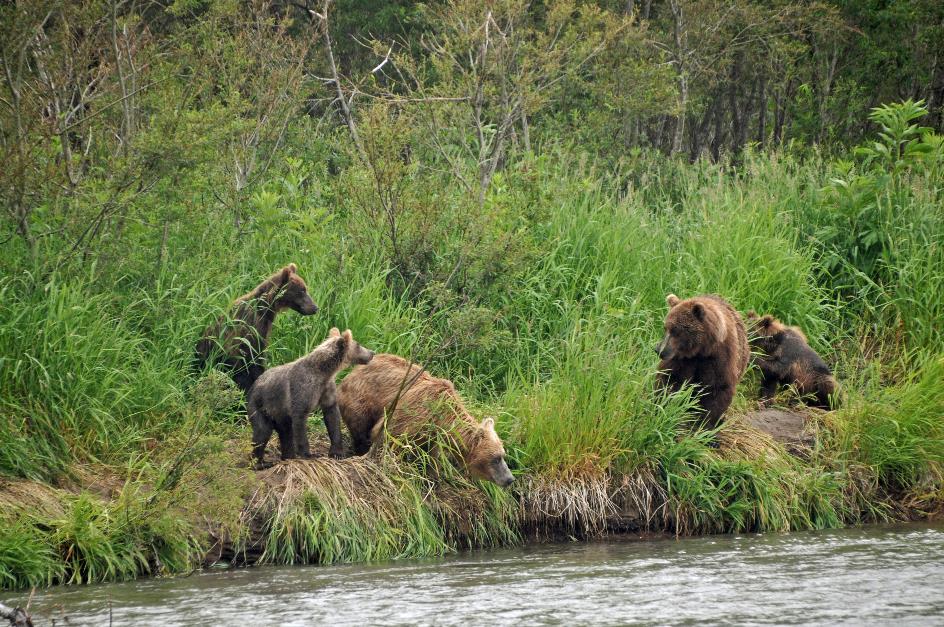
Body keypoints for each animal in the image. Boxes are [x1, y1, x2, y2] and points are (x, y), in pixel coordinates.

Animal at [195, 264, 320, 392]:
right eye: (301, 291)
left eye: (305, 288)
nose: (315, 308)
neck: (265, 310)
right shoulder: (251, 331)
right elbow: (254, 359)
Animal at [247, 328, 376, 466]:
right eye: (358, 344)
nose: (372, 353)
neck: (324, 372)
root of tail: (253, 385)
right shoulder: (301, 389)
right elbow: (300, 419)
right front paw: (308, 454)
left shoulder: (326, 389)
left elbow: (332, 417)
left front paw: (337, 453)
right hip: (260, 405)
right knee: (262, 432)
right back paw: (260, 462)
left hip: (279, 413)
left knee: (285, 433)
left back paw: (288, 456)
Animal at [338, 356, 516, 488]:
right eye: (496, 458)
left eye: (503, 454)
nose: (510, 479)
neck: (444, 418)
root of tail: (351, 373)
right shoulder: (412, 414)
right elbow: (389, 436)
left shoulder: (434, 433)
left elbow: (432, 455)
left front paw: (433, 477)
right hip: (362, 398)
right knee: (360, 429)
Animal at [652, 292, 748, 430]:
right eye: (665, 328)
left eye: (676, 330)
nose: (659, 350)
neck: (701, 350)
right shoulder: (681, 359)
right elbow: (670, 379)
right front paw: (664, 407)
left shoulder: (719, 359)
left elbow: (717, 390)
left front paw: (705, 425)